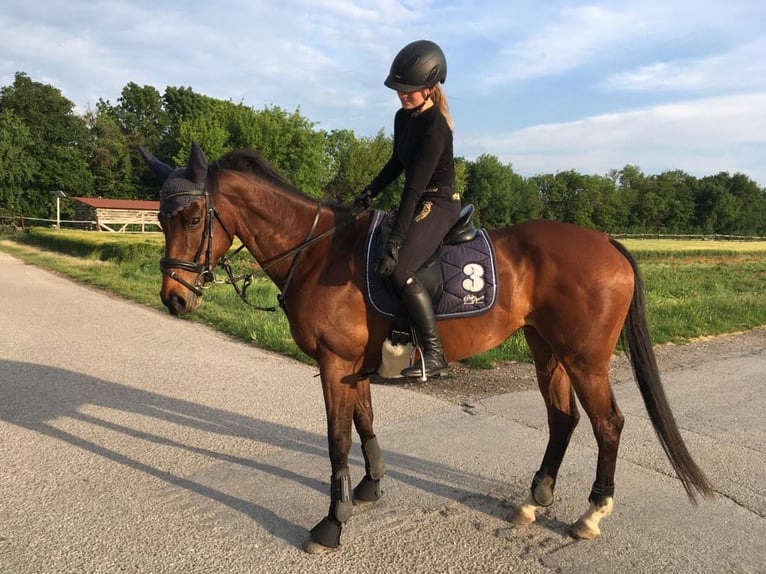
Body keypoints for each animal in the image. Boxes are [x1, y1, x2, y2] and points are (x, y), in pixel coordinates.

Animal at [139, 142, 712, 554]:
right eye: (161, 219)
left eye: (193, 218)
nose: (174, 298)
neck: (317, 252)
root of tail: (607, 241)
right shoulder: (353, 366)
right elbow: (365, 422)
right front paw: (369, 489)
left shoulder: (335, 362)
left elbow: (336, 441)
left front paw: (332, 523)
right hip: (546, 349)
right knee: (562, 419)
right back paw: (534, 500)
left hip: (584, 358)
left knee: (608, 423)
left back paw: (591, 514)